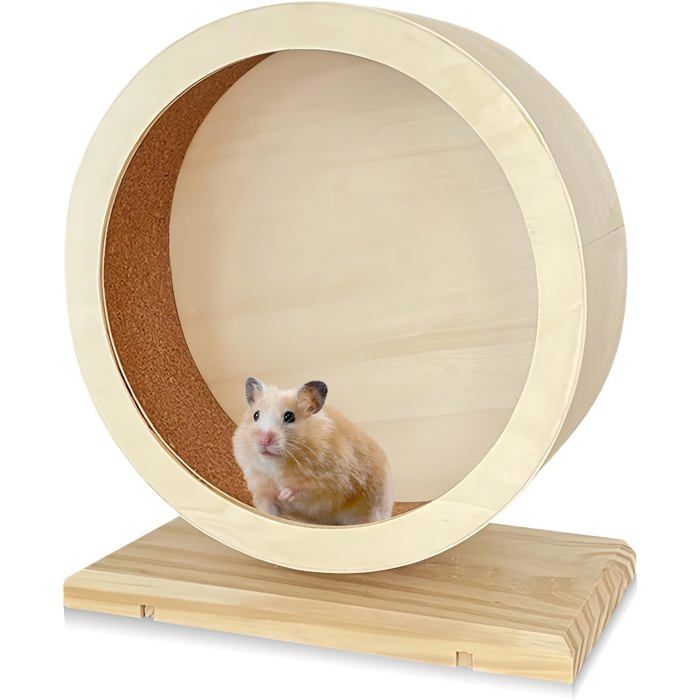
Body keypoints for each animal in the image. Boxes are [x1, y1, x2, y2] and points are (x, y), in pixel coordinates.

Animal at [232, 377, 393, 525]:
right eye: (256, 415)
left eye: (289, 416)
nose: (264, 441)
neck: (275, 462)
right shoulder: (261, 489)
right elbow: (268, 509)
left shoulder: (331, 480)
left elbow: (304, 488)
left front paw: (284, 495)